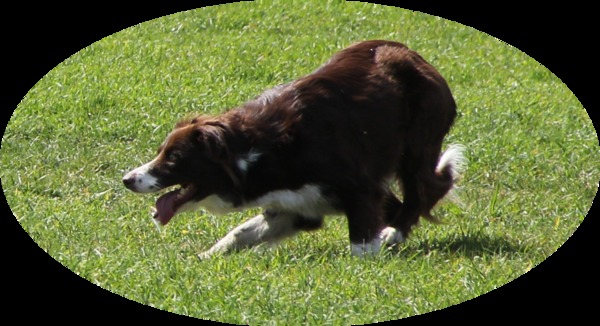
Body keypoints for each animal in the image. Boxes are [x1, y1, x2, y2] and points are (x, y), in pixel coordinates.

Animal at [122, 40, 466, 258]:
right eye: (160, 152)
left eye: (174, 158)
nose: (128, 179)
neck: (253, 152)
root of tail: (415, 56)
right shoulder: (296, 205)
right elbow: (239, 233)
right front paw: (202, 260)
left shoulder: (360, 189)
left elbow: (360, 247)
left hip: (416, 145)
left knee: (426, 188)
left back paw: (395, 232)